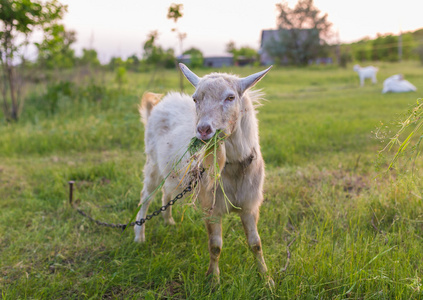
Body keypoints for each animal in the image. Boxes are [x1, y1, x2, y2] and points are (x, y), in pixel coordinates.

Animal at [136, 63, 274, 282]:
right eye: (195, 99)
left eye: (230, 97)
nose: (203, 130)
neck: (232, 167)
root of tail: (157, 107)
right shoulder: (211, 206)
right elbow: (215, 246)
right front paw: (213, 280)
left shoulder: (250, 205)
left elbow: (256, 243)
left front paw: (266, 278)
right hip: (152, 164)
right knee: (146, 197)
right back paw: (139, 237)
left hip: (171, 170)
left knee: (167, 191)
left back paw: (169, 222)